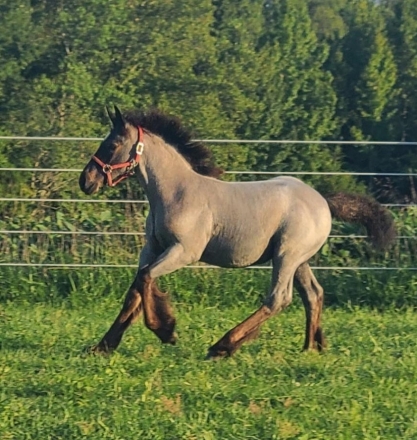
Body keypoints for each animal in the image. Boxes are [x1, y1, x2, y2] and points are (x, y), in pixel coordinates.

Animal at [79, 107, 394, 360]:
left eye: (113, 143)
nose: (86, 180)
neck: (176, 193)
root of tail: (324, 201)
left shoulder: (184, 251)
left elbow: (145, 280)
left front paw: (166, 330)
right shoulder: (152, 248)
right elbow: (135, 289)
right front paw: (103, 346)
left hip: (286, 256)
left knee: (279, 298)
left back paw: (222, 346)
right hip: (300, 260)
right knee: (313, 294)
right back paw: (311, 347)